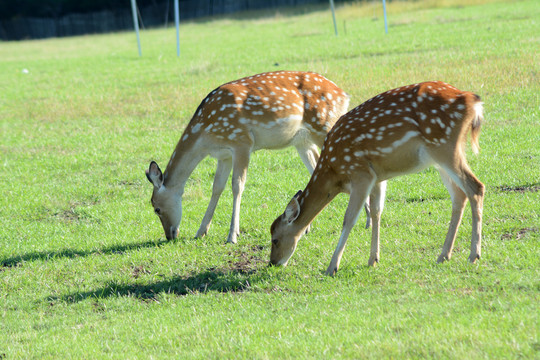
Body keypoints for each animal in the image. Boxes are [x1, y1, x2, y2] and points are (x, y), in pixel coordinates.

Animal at [144, 69, 372, 245]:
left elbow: (237, 185)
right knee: (316, 168)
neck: (205, 135)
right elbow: (217, 188)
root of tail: (344, 95)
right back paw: (308, 228)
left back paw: (368, 220)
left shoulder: (242, 142)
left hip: (324, 124)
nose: (170, 235)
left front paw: (232, 236)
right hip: (302, 140)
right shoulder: (223, 155)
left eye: (156, 208)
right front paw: (201, 232)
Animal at [270, 80, 486, 274]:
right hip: (439, 157)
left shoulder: (360, 172)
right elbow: (376, 211)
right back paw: (443, 255)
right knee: (459, 195)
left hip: (445, 147)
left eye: (275, 239)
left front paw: (332, 266)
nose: (273, 263)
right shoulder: (378, 176)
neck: (334, 172)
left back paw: (473, 255)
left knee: (476, 187)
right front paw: (373, 259)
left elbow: (349, 218)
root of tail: (473, 100)